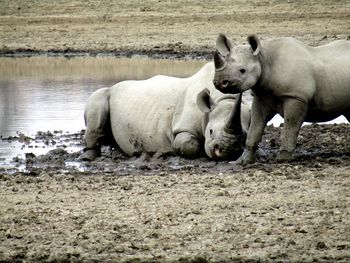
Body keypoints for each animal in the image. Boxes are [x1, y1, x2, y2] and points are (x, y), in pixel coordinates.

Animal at [82, 62, 252, 161]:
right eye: (210, 131)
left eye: (244, 135)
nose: (227, 151)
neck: (222, 98)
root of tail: (113, 86)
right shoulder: (181, 128)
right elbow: (189, 145)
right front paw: (168, 152)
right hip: (104, 94)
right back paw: (90, 159)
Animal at [212, 34, 348, 164]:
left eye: (242, 70)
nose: (219, 82)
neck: (263, 59)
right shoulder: (261, 96)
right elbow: (255, 127)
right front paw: (243, 161)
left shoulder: (295, 96)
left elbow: (289, 127)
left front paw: (283, 159)